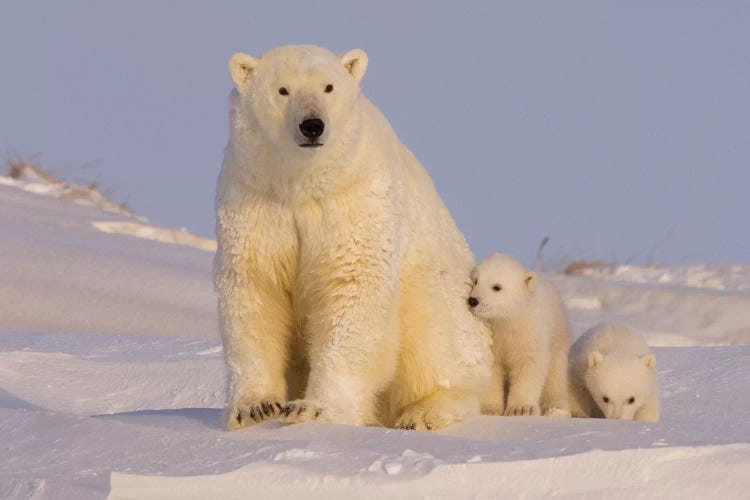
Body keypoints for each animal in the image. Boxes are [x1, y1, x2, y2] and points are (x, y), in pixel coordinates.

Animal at [214, 45, 494, 432]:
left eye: (329, 86)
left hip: (440, 291)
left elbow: (354, 287)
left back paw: (424, 412)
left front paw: (313, 410)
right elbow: (255, 291)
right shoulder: (255, 199)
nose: (312, 125)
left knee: (436, 342)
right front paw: (255, 408)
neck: (301, 185)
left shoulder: (355, 198)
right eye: (282, 90)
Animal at [470, 252, 568, 416]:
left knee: (556, 374)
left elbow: (528, 363)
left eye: (497, 287)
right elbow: (492, 368)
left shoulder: (528, 332)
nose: (472, 300)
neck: (506, 321)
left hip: (558, 337)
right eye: (476, 280)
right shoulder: (493, 338)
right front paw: (490, 408)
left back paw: (556, 408)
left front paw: (521, 409)